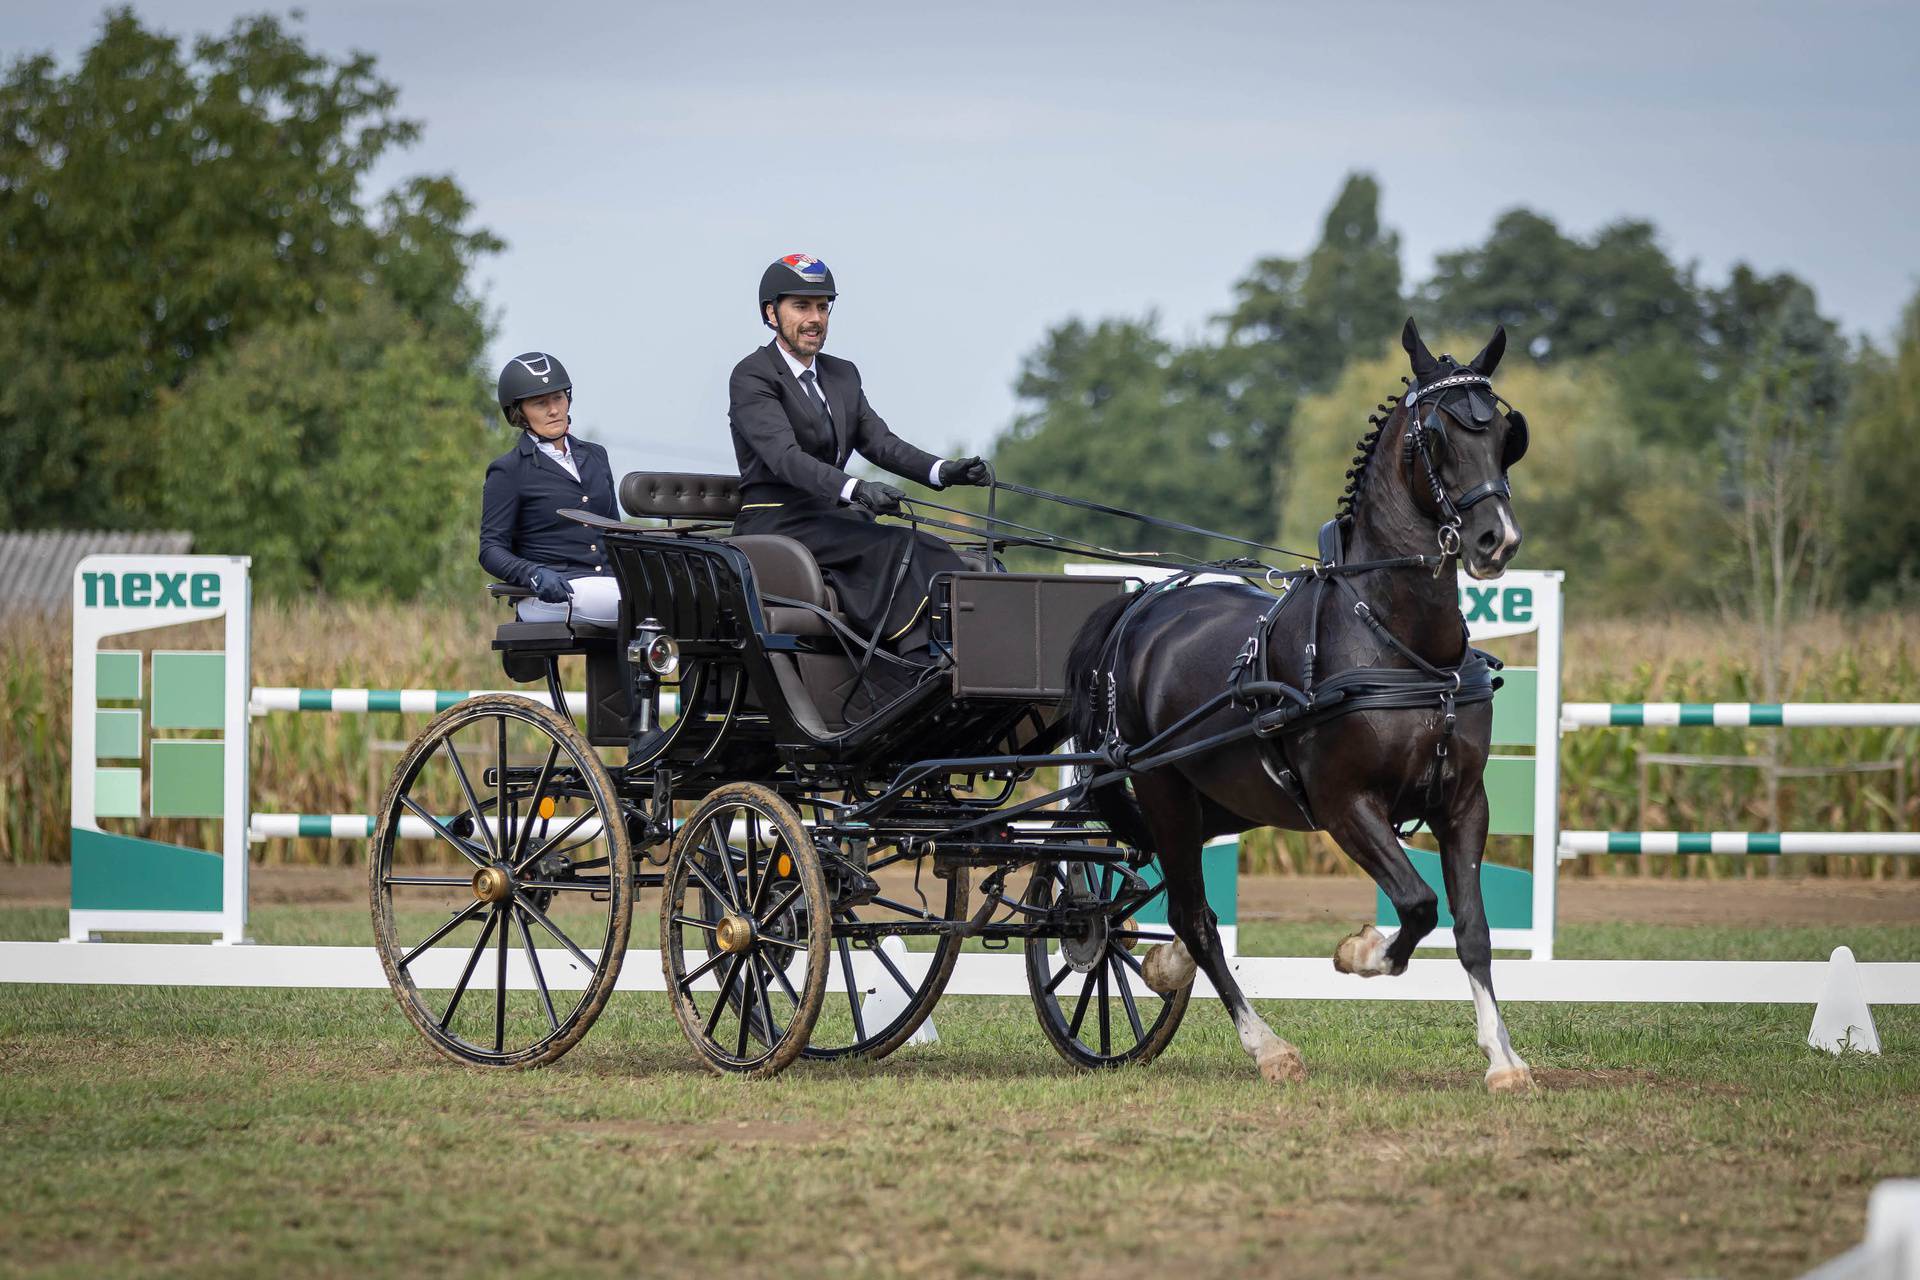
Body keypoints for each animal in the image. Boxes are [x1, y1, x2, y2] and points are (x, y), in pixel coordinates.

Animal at [1075, 318, 1536, 1090]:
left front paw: (1502, 1058)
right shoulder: (1346, 803)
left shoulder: (1463, 802)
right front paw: (1361, 953)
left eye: (1505, 432)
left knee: (1176, 895)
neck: (1399, 643)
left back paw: (1159, 960)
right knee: (1195, 914)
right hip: (1164, 785)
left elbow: (1472, 928)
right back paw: (1266, 1046)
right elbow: (1417, 905)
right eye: (1437, 434)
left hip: (1223, 794)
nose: (1495, 540)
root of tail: (1140, 609)